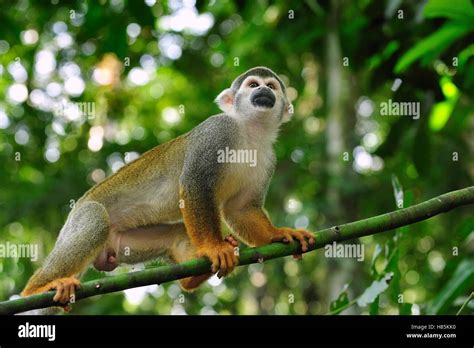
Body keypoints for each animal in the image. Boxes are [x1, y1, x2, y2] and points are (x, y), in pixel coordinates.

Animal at [21, 66, 314, 308]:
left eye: (271, 86)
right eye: (253, 85)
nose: (264, 91)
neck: (250, 131)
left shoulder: (269, 156)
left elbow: (240, 209)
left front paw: (278, 234)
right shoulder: (217, 131)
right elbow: (195, 184)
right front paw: (214, 248)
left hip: (122, 244)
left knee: (176, 234)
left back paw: (192, 278)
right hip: (77, 220)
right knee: (94, 219)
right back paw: (37, 289)